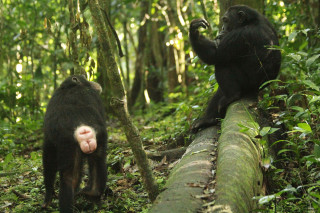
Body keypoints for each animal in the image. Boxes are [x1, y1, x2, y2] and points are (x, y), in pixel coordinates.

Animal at [41, 74, 107, 211]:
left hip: (68, 142)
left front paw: (48, 196)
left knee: (68, 177)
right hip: (91, 137)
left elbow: (48, 157)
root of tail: (82, 127)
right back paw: (92, 193)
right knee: (98, 161)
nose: (93, 82)